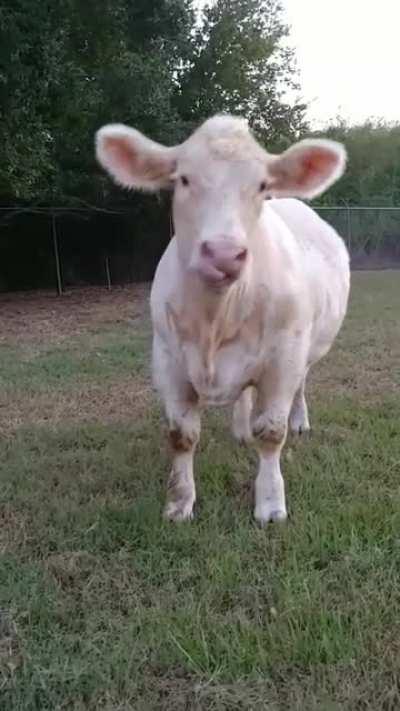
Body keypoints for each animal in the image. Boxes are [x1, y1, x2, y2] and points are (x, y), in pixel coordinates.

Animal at [95, 115, 350, 525]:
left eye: (261, 185)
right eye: (183, 179)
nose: (224, 253)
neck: (216, 319)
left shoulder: (284, 358)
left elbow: (271, 432)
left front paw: (270, 503)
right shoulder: (167, 359)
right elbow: (181, 435)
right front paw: (179, 503)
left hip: (308, 348)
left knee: (301, 386)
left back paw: (299, 421)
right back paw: (241, 430)